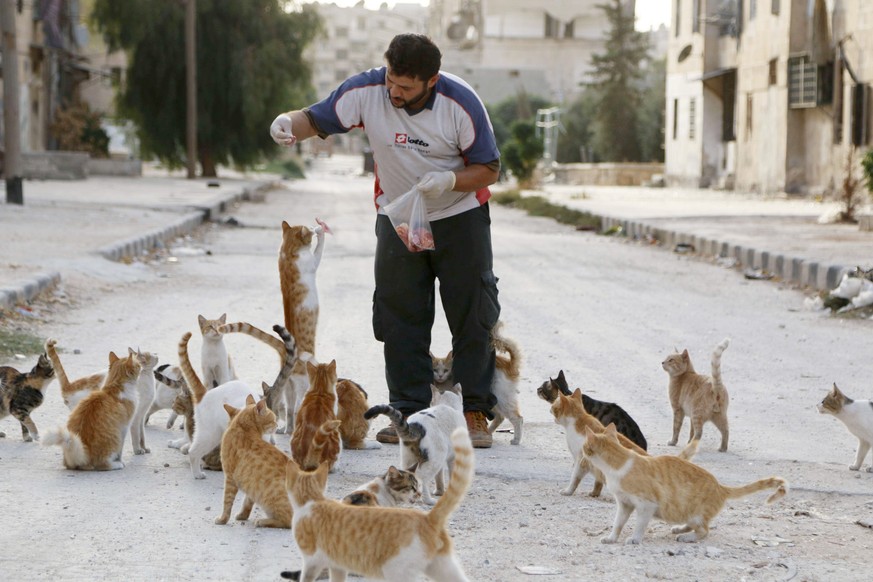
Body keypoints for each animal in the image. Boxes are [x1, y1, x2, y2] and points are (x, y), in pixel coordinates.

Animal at [214, 396, 292, 528]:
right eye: (273, 419)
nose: (277, 424)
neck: (243, 428)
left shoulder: (229, 477)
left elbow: (227, 502)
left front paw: (223, 519)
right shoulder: (252, 482)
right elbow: (247, 501)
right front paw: (242, 515)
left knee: (288, 520)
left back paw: (263, 521)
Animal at [584, 424, 788, 548]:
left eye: (585, 446)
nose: (583, 452)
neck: (618, 463)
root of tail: (721, 487)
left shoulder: (646, 505)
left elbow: (640, 525)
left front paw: (635, 538)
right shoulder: (625, 504)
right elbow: (617, 523)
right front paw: (611, 538)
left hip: (696, 514)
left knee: (704, 531)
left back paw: (685, 536)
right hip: (686, 513)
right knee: (696, 526)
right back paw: (679, 529)